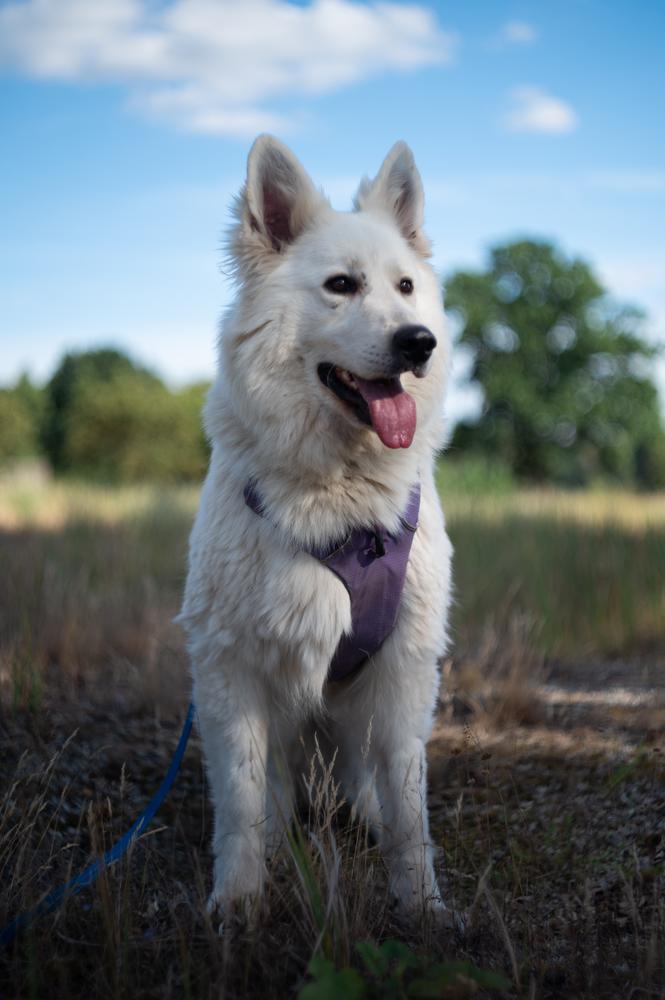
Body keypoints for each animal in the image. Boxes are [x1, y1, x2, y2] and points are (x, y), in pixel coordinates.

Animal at [179, 137, 454, 924]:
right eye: (340, 285)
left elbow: (409, 805)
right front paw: (235, 902)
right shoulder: (229, 668)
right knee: (273, 799)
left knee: (369, 787)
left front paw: (421, 904)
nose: (418, 342)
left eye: (404, 287)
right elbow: (241, 801)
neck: (339, 500)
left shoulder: (403, 669)